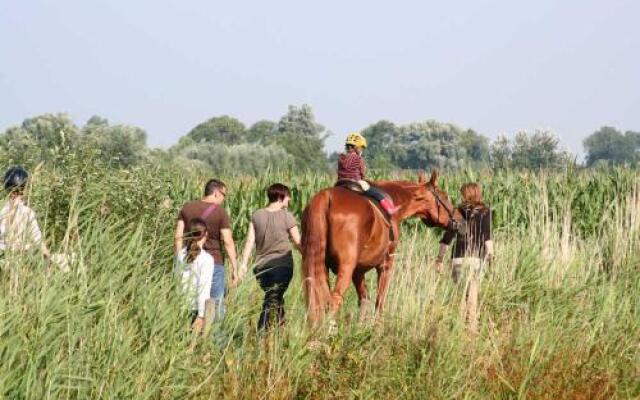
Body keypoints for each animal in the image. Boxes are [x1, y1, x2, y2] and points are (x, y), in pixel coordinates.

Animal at [300, 170, 456, 324]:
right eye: (444, 196)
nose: (457, 219)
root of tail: (327, 197)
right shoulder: (386, 264)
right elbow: (380, 300)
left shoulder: (358, 271)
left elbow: (364, 299)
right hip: (346, 267)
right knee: (335, 299)